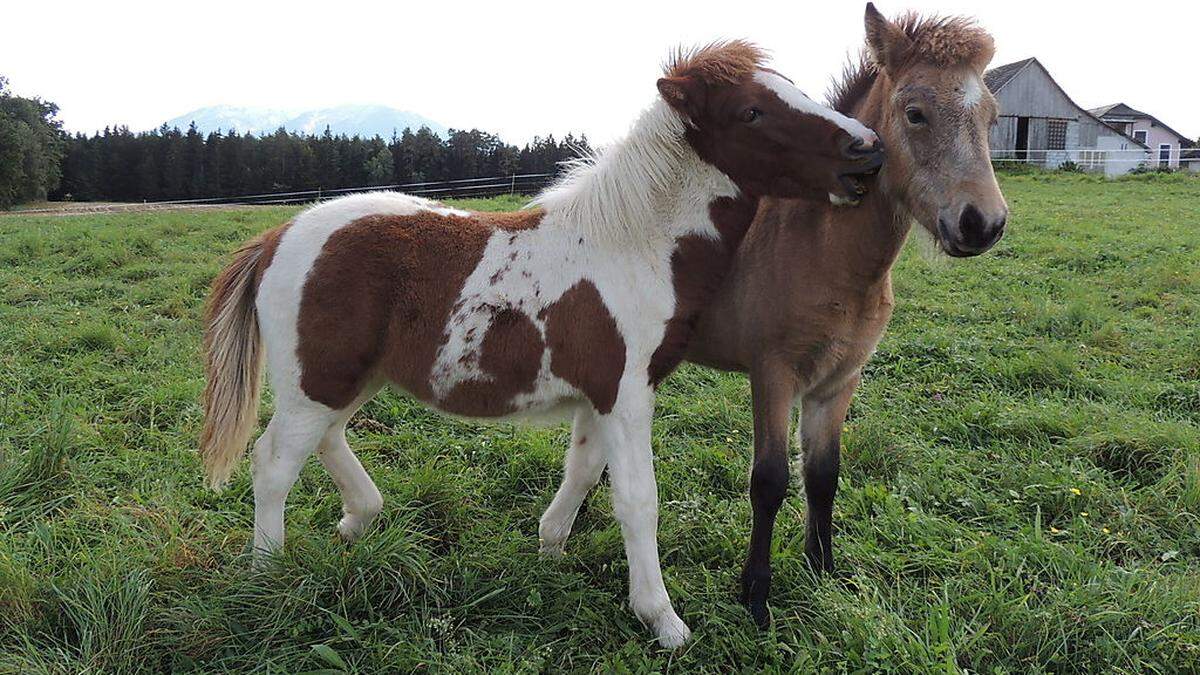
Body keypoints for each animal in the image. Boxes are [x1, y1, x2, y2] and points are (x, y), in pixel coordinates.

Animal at [201, 43, 883, 648]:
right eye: (752, 111)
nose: (867, 151)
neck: (634, 246)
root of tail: (275, 237)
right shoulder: (625, 395)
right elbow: (638, 501)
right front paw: (663, 621)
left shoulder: (599, 397)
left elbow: (582, 471)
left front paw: (550, 549)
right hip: (317, 381)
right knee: (274, 463)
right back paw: (267, 575)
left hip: (347, 378)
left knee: (326, 437)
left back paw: (358, 519)